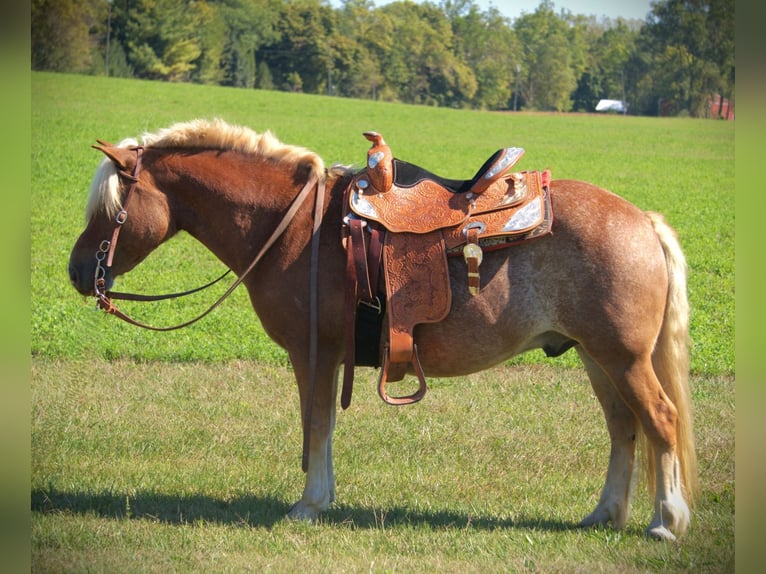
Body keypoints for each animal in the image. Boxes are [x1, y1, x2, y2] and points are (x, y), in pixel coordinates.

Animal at [68, 118, 696, 541]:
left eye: (111, 209)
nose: (77, 271)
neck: (291, 228)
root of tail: (643, 221)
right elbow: (320, 426)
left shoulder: (315, 353)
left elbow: (317, 425)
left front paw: (310, 504)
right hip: (597, 356)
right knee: (623, 429)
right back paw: (604, 514)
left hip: (623, 358)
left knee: (659, 420)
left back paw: (666, 521)